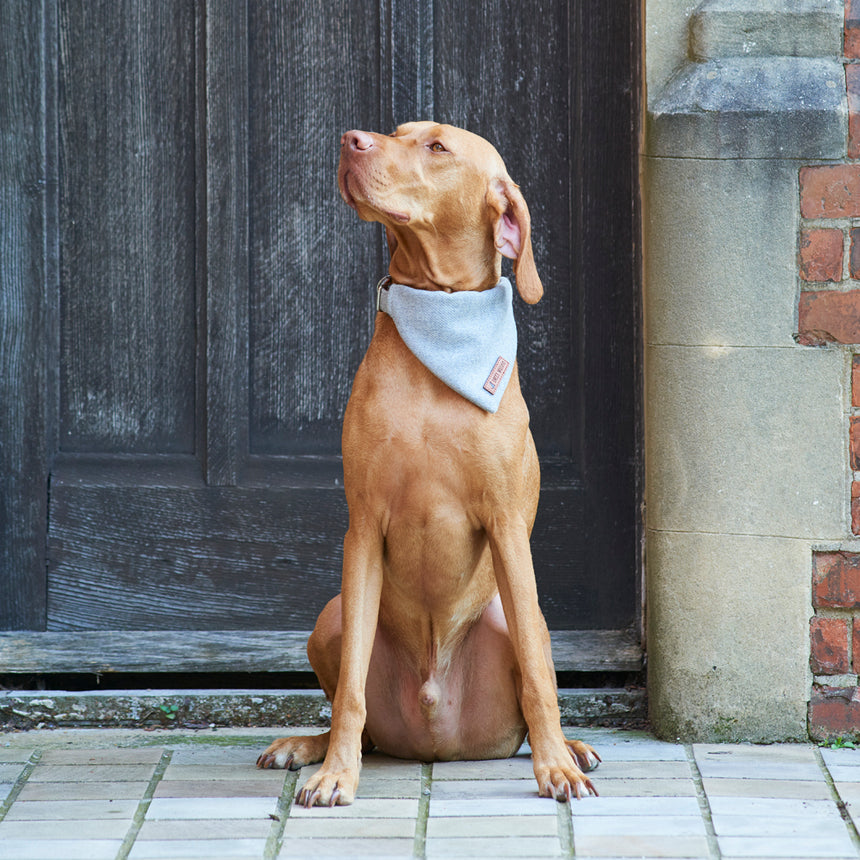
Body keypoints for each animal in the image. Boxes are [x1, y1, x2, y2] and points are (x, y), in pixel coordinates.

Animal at [258, 122, 600, 808]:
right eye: (395, 132)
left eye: (438, 147)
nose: (351, 139)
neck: (439, 320)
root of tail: (437, 740)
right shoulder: (363, 527)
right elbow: (351, 692)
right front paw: (335, 774)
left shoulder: (506, 527)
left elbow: (539, 676)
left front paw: (555, 767)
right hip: (332, 614)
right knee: (355, 712)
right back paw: (307, 748)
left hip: (518, 616)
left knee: (535, 665)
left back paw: (570, 747)